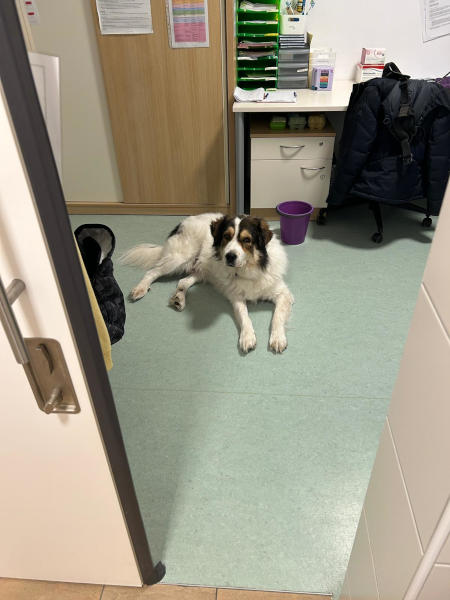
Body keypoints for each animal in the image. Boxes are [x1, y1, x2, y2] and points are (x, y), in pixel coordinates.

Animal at [120, 213, 294, 353]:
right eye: (226, 236)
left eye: (246, 240)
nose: (229, 256)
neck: (250, 268)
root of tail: (182, 223)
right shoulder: (236, 296)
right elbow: (244, 316)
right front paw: (247, 337)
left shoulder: (284, 294)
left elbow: (277, 316)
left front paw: (278, 338)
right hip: (180, 257)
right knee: (152, 272)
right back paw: (140, 289)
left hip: (201, 270)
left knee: (183, 281)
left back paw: (178, 299)